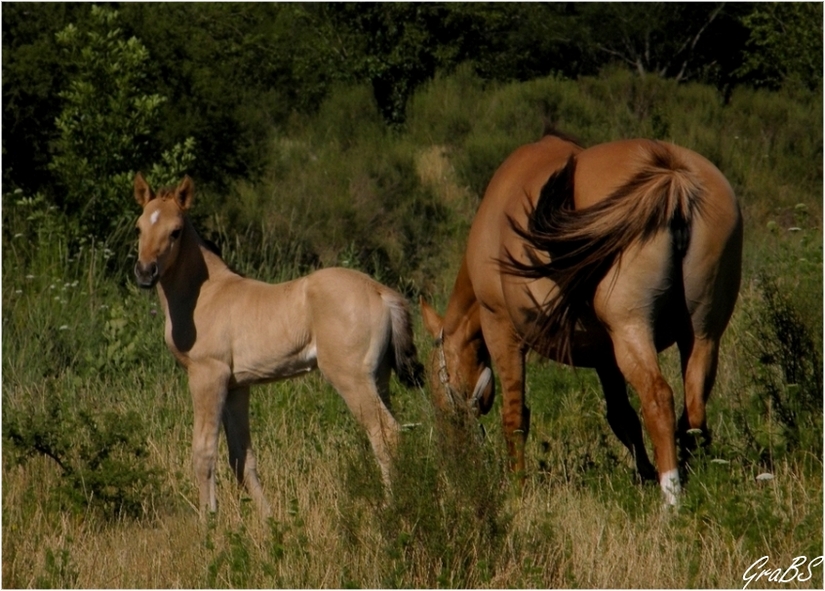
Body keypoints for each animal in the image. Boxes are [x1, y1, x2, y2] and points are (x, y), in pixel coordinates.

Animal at [134, 173, 424, 516]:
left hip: (351, 378)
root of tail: (380, 291)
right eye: (139, 227)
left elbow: (203, 453)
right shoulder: (236, 386)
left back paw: (392, 506)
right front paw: (269, 519)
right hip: (379, 377)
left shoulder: (207, 376)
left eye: (175, 231)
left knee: (386, 434)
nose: (145, 272)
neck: (205, 295)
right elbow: (241, 457)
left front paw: (208, 521)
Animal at [418, 132, 740, 506]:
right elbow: (622, 417)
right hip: (702, 335)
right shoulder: (605, 357)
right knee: (694, 410)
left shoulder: (502, 332)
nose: (454, 456)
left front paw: (517, 489)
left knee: (659, 398)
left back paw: (671, 495)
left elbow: (515, 418)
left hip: (631, 330)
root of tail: (671, 174)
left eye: (438, 390)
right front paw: (643, 474)